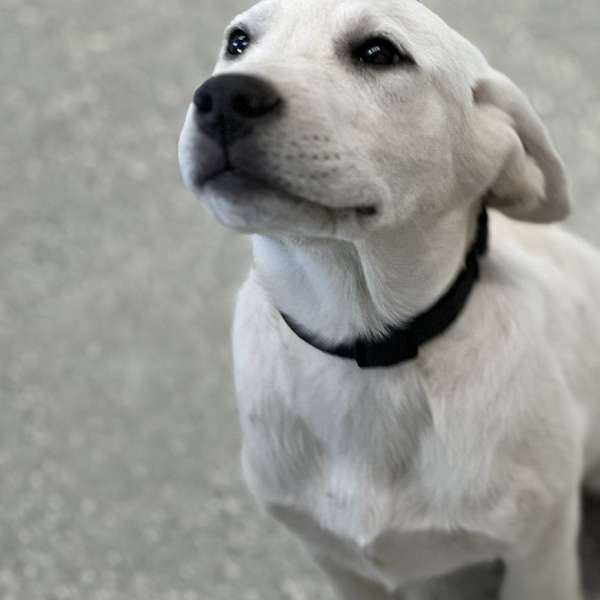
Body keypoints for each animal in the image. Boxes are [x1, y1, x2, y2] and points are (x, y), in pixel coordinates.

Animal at [178, 2, 600, 596]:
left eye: (379, 52)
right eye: (237, 42)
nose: (222, 97)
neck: (368, 353)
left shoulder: (538, 553)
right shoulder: (334, 558)